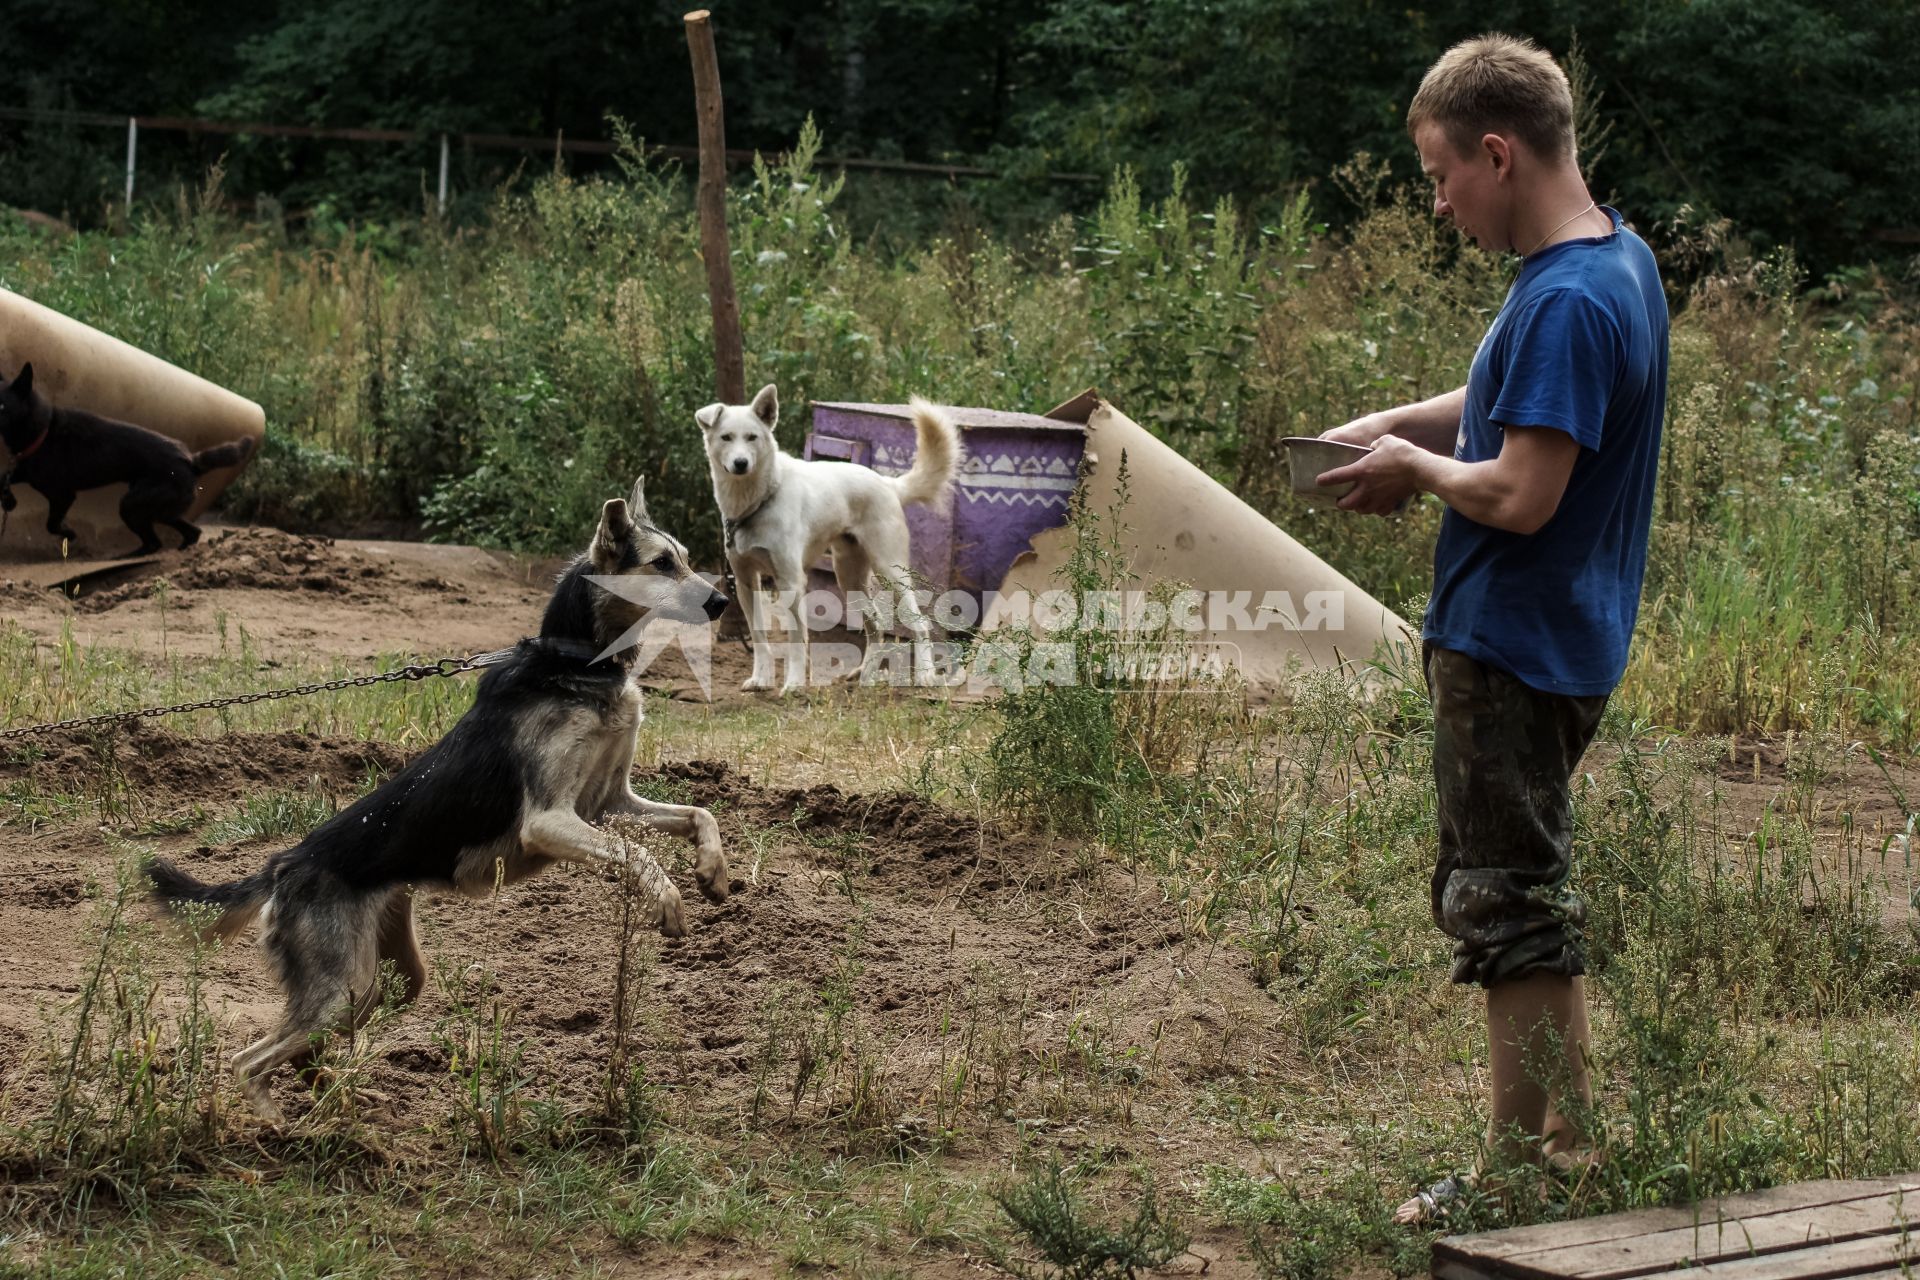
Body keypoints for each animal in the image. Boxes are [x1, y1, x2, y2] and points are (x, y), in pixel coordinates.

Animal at [0, 362, 255, 556]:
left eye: (2, 406)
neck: (42, 431)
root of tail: (191, 460)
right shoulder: (23, 471)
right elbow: (4, 479)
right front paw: (9, 501)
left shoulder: (62, 495)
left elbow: (52, 523)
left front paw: (69, 533)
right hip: (159, 509)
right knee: (190, 532)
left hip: (133, 505)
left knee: (155, 542)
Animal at [147, 477, 725, 1120]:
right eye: (662, 564)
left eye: (688, 559)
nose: (723, 602)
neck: (578, 662)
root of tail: (281, 865)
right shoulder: (551, 821)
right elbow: (638, 855)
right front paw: (669, 899)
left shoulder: (609, 805)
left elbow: (700, 814)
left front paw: (713, 872)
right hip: (344, 988)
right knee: (248, 1061)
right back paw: (284, 1132)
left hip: (386, 981)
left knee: (300, 1052)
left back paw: (344, 1110)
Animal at [698, 385, 960, 694]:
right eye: (726, 437)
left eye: (752, 437)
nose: (741, 464)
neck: (758, 501)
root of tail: (887, 483)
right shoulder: (745, 582)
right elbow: (759, 637)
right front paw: (761, 679)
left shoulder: (791, 582)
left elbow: (796, 641)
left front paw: (794, 684)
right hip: (849, 578)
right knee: (876, 625)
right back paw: (865, 676)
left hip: (891, 572)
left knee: (919, 623)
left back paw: (926, 675)